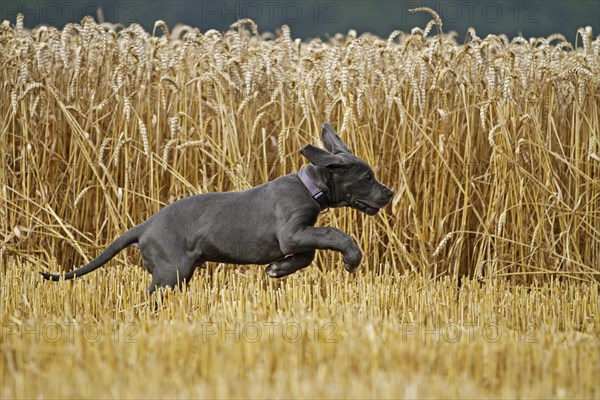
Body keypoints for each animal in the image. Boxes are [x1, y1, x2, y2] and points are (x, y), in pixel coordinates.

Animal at [44, 121, 396, 290]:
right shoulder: (292, 233)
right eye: (367, 177)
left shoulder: (298, 236)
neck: (309, 187)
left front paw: (278, 270)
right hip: (171, 272)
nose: (390, 193)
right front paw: (352, 258)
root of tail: (145, 226)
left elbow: (308, 255)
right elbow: (334, 234)